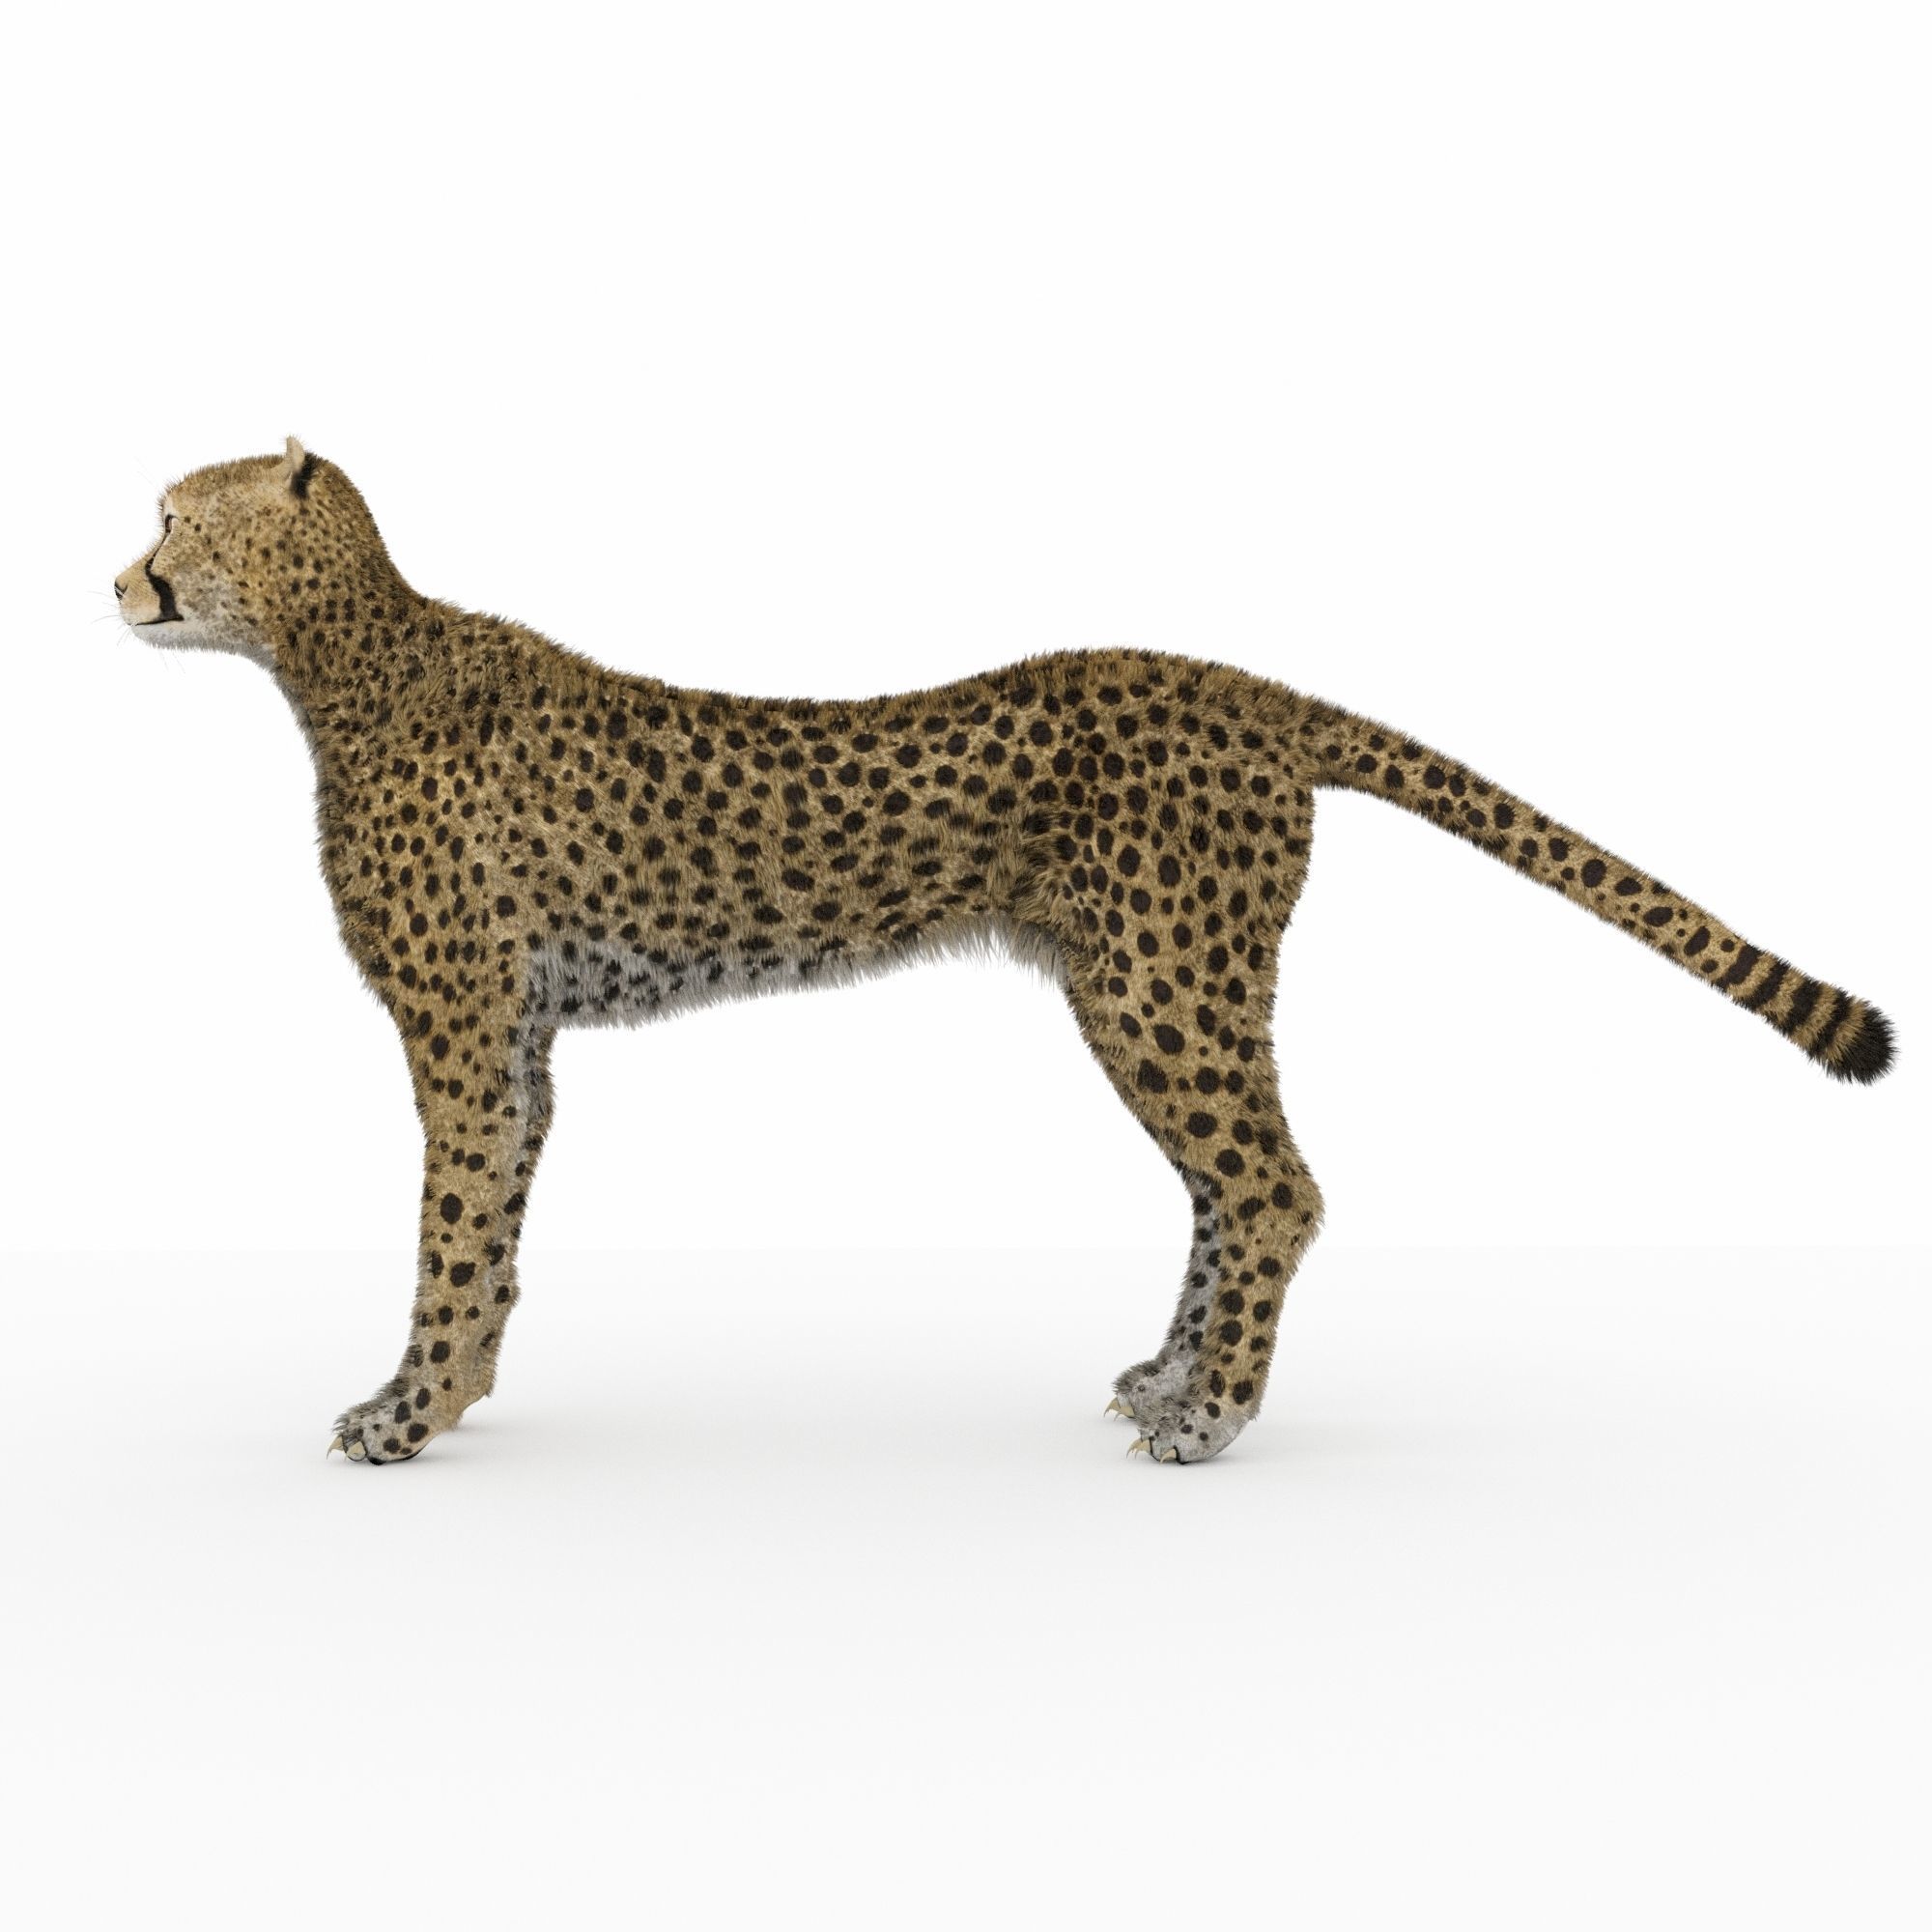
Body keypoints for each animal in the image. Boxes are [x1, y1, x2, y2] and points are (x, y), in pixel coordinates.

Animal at [114, 440, 1895, 1465]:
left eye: (171, 515)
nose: (119, 576)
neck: (342, 652)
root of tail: (1231, 681)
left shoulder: (464, 1031)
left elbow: (449, 1230)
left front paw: (407, 1412)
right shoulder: (523, 1037)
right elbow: (492, 1236)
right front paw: (464, 1393)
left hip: (1161, 988)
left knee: (1273, 1185)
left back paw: (1215, 1419)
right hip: (1147, 989)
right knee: (1224, 1190)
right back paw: (1170, 1378)